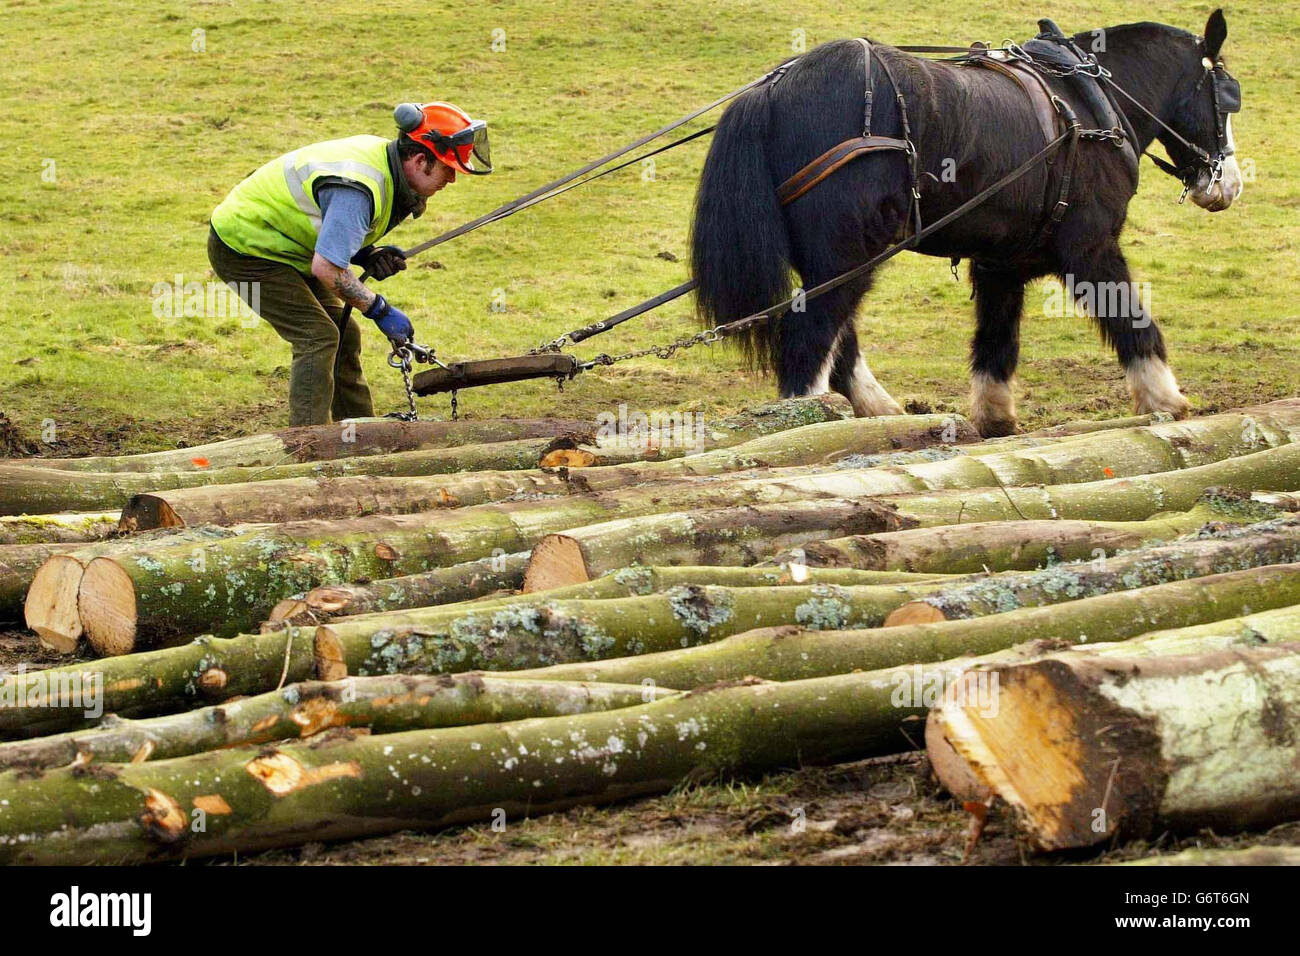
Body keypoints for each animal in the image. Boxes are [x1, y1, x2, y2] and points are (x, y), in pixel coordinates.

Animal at [696, 10, 1242, 437]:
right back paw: (810, 424)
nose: (1229, 185)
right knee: (809, 342)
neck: (1087, 101)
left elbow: (996, 342)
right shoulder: (1092, 248)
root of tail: (773, 89)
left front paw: (994, 417)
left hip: (835, 262)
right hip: (849, 254)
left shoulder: (1002, 263)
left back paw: (877, 412)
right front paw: (1165, 399)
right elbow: (1132, 318)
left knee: (838, 341)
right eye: (1228, 98)